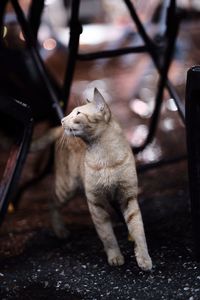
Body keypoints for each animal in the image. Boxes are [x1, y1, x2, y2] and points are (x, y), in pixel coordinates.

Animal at [33, 88, 152, 270]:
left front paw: (143, 258)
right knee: (51, 202)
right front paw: (115, 256)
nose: (62, 120)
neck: (106, 158)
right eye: (71, 112)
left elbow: (138, 230)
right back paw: (60, 230)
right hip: (66, 188)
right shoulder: (96, 203)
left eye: (78, 113)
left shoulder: (128, 197)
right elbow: (107, 235)